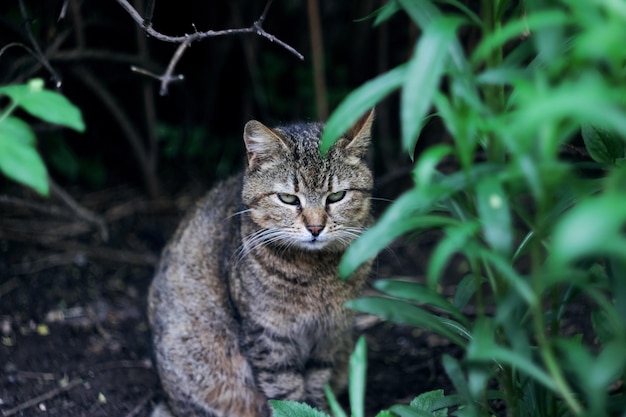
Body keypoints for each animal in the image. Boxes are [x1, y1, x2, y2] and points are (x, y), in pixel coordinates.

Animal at [148, 109, 372, 414]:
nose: (315, 228)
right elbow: (286, 394)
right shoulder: (268, 336)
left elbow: (318, 385)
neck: (315, 272)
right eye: (288, 198)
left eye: (336, 196)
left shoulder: (331, 334)